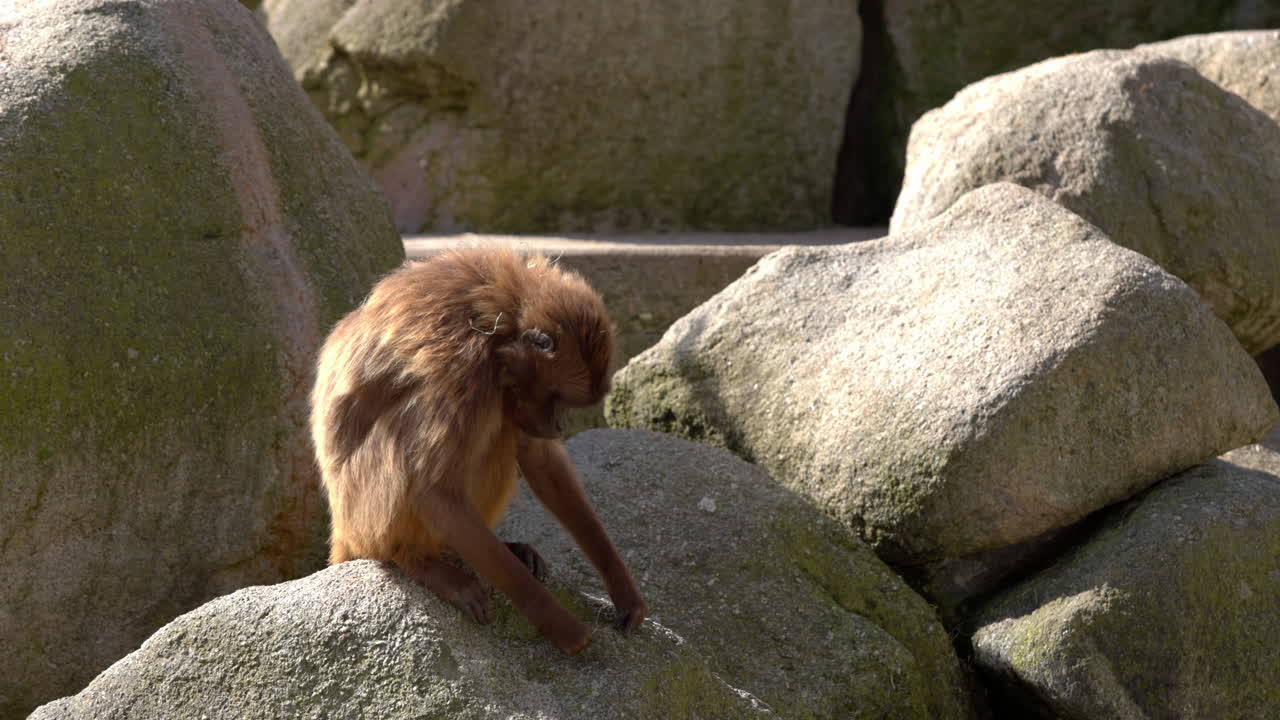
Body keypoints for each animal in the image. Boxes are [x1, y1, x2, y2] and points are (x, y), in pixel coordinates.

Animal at [310, 248, 646, 655]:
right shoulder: (463, 375)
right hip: (364, 516)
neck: (500, 326)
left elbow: (540, 460)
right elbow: (433, 492)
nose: (560, 426)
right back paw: (415, 559)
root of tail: (343, 530)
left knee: (502, 435)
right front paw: (560, 625)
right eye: (558, 399)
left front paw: (622, 588)